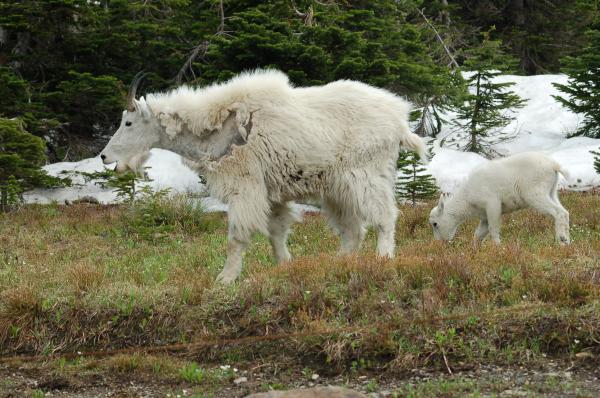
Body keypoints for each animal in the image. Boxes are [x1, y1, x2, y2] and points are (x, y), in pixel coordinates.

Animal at [99, 70, 426, 284]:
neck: (217, 128)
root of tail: (400, 122)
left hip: (365, 175)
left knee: (384, 217)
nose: (104, 157)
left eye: (128, 123)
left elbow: (237, 238)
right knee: (353, 231)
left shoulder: (244, 186)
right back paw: (339, 264)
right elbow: (276, 232)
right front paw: (285, 267)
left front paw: (225, 279)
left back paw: (383, 259)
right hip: (335, 189)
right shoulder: (272, 193)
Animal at [428, 152, 568, 246]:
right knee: (565, 212)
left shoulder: (492, 204)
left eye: (435, 224)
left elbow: (493, 229)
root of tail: (554, 166)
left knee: (558, 212)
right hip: (551, 192)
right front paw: (474, 249)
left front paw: (498, 248)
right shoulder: (484, 216)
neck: (466, 200)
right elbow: (478, 234)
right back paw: (566, 243)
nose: (439, 243)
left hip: (535, 194)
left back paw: (561, 239)